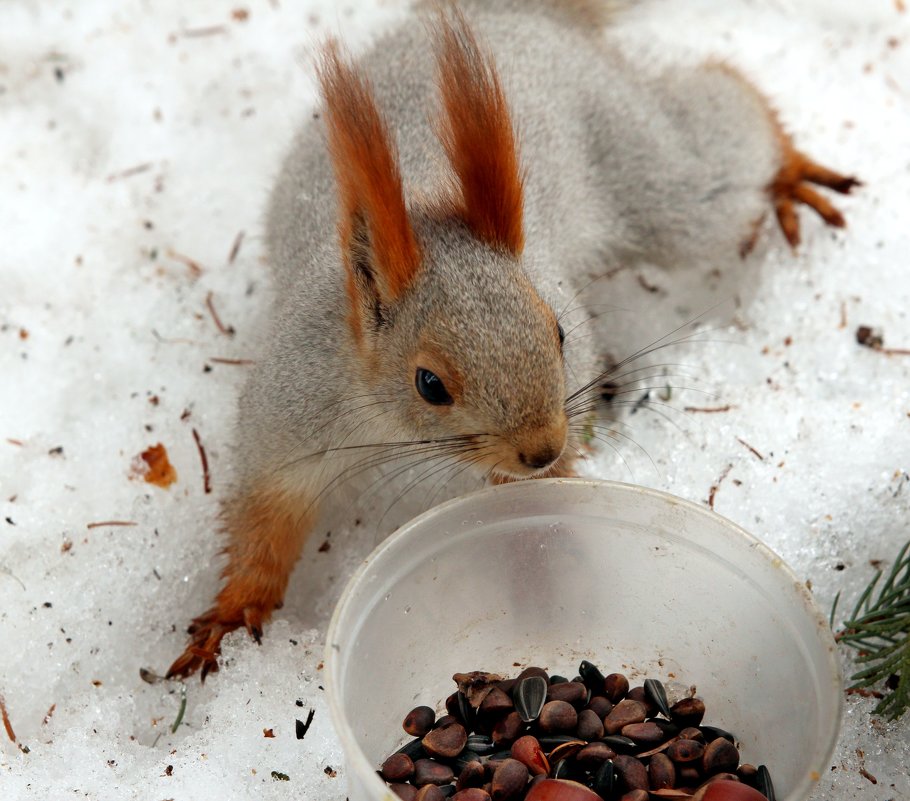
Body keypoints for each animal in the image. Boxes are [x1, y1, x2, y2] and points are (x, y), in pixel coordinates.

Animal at [167, 0, 860, 680]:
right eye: (429, 384)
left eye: (561, 332)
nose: (542, 450)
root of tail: (515, 14)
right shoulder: (294, 407)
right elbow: (266, 513)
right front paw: (231, 615)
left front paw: (543, 562)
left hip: (655, 176)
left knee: (720, 121)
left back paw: (788, 170)